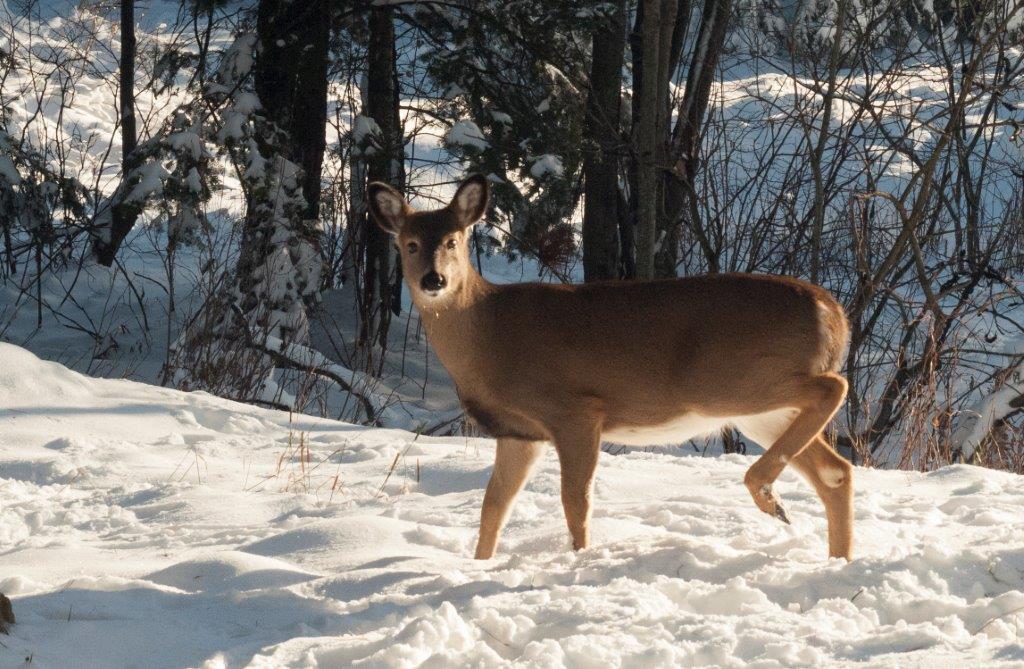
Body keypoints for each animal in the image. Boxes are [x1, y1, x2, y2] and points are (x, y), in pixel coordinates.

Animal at [367, 175, 854, 561]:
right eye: (409, 244)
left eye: (454, 241)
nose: (434, 280)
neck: (488, 336)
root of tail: (833, 312)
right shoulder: (520, 432)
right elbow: (493, 507)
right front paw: (479, 566)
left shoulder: (575, 410)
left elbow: (575, 501)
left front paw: (580, 560)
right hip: (758, 410)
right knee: (835, 471)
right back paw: (834, 557)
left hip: (726, 382)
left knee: (835, 388)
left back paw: (766, 494)